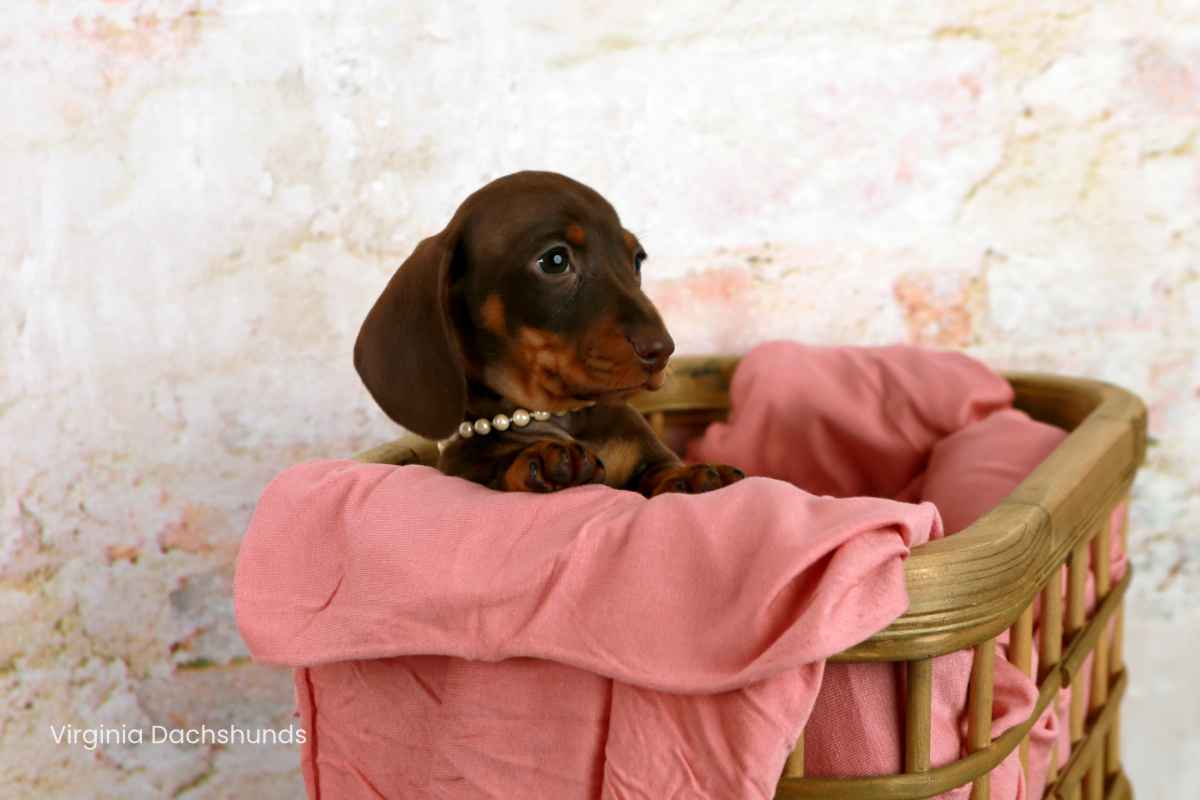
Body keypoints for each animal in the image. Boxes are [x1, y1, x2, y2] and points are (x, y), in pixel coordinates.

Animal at [352, 172, 739, 496]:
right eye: (555, 261)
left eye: (637, 261)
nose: (661, 350)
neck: (559, 414)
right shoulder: (467, 472)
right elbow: (497, 471)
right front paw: (542, 458)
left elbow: (657, 471)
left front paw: (687, 475)